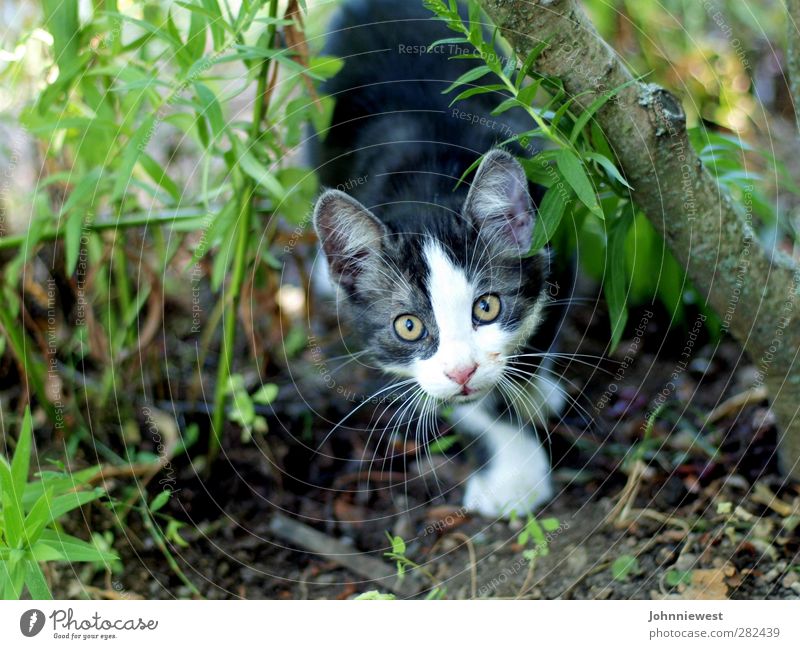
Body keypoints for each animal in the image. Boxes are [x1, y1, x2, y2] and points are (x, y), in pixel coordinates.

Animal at [310, 0, 564, 516]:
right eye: (408, 326)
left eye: (486, 307)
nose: (462, 369)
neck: (429, 182)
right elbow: (454, 399)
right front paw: (516, 474)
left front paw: (528, 390)